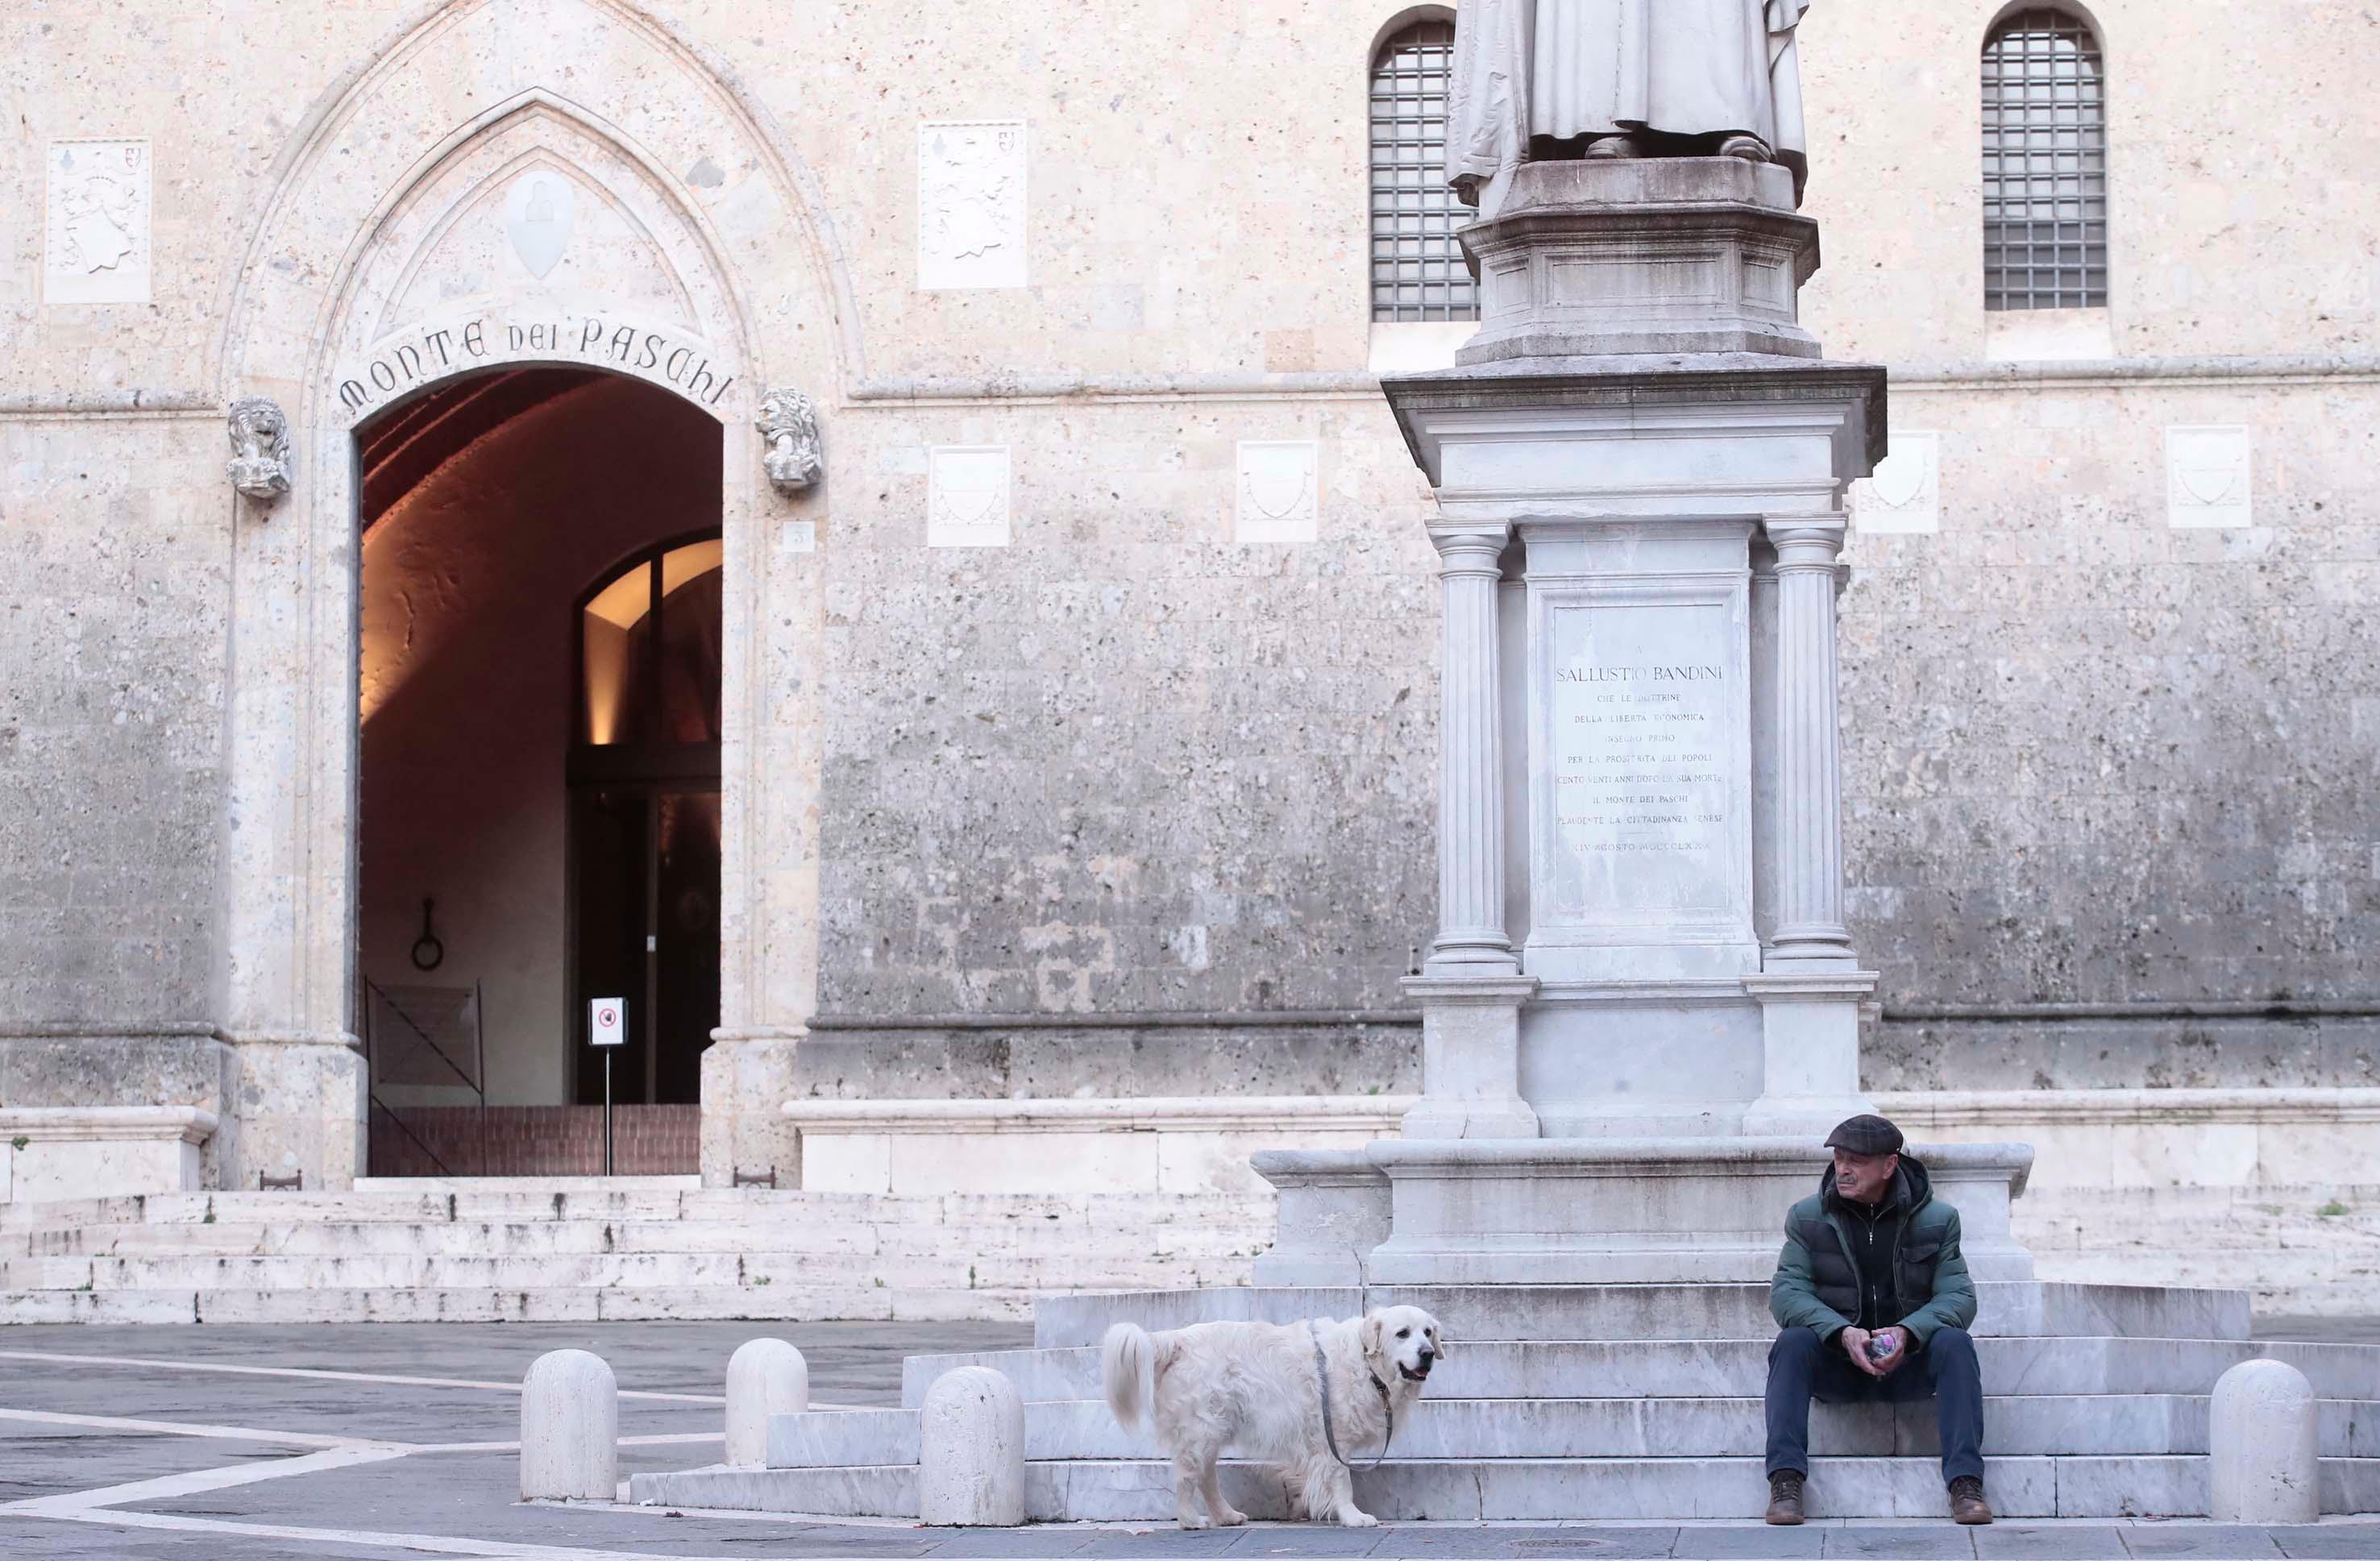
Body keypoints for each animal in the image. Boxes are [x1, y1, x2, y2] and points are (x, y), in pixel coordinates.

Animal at [1099, 1304, 1447, 1522]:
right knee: (1187, 1477)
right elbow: (1342, 1482)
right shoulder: (1333, 1437)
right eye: (1403, 1333)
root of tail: (1177, 1339)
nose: (1428, 1354)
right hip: (1200, 1429)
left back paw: (1226, 1516)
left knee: (1207, 1476)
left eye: (1428, 1332)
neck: (1365, 1362)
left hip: (1211, 1428)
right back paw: (1190, 1520)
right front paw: (1353, 1517)